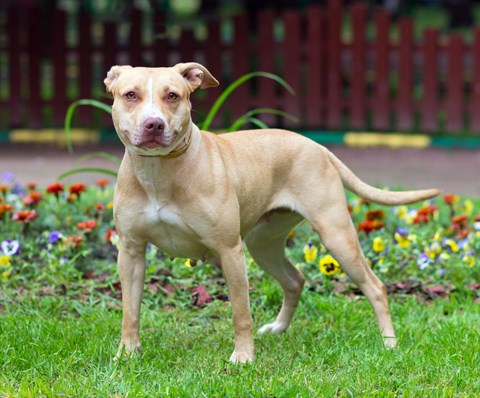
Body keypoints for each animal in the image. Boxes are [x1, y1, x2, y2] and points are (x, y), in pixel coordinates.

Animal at [103, 62, 440, 364]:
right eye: (130, 95)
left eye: (172, 95)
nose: (154, 124)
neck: (159, 172)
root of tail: (316, 145)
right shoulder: (131, 253)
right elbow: (130, 311)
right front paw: (126, 354)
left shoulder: (230, 251)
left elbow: (241, 312)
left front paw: (243, 356)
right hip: (263, 244)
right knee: (294, 280)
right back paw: (279, 328)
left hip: (336, 236)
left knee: (375, 287)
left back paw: (389, 342)